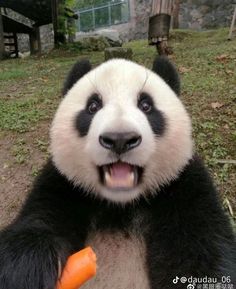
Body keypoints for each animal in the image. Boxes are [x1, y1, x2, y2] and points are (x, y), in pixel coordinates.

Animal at [0, 56, 236, 288]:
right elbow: (38, 219)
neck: (120, 207)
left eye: (146, 105)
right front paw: (28, 268)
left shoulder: (184, 187)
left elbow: (204, 251)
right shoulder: (63, 183)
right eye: (93, 106)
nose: (119, 139)